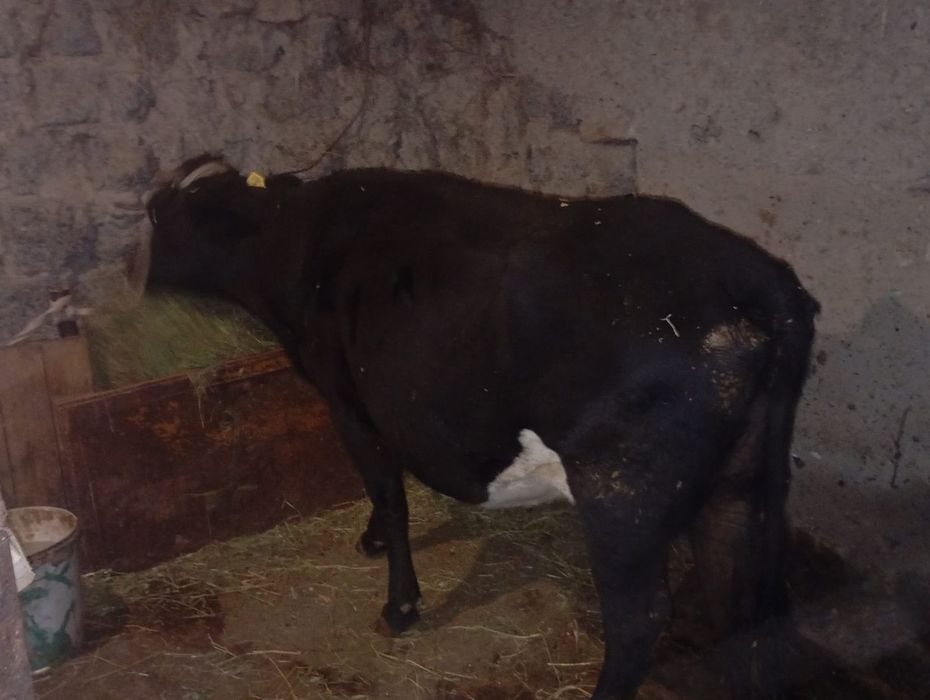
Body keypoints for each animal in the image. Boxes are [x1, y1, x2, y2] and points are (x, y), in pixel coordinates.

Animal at [136, 153, 819, 700]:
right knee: (748, 607)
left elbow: (388, 491)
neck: (300, 241)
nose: (139, 285)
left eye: (160, 218)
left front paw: (400, 604)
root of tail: (754, 279)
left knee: (640, 620)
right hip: (744, 481)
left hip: (622, 489)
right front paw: (372, 540)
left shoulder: (347, 399)